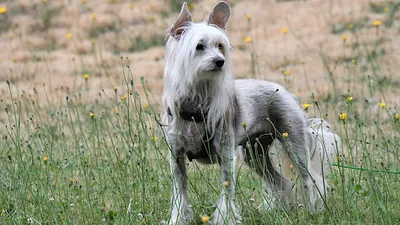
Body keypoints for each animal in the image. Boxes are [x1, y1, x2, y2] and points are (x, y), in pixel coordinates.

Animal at [162, 2, 340, 225]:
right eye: (199, 46)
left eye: (220, 46)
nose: (220, 61)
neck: (196, 104)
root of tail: (287, 93)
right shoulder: (176, 157)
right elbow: (180, 194)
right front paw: (177, 219)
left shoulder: (226, 155)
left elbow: (227, 193)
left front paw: (225, 219)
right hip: (254, 154)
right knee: (281, 183)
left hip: (294, 146)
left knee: (311, 181)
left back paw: (313, 211)